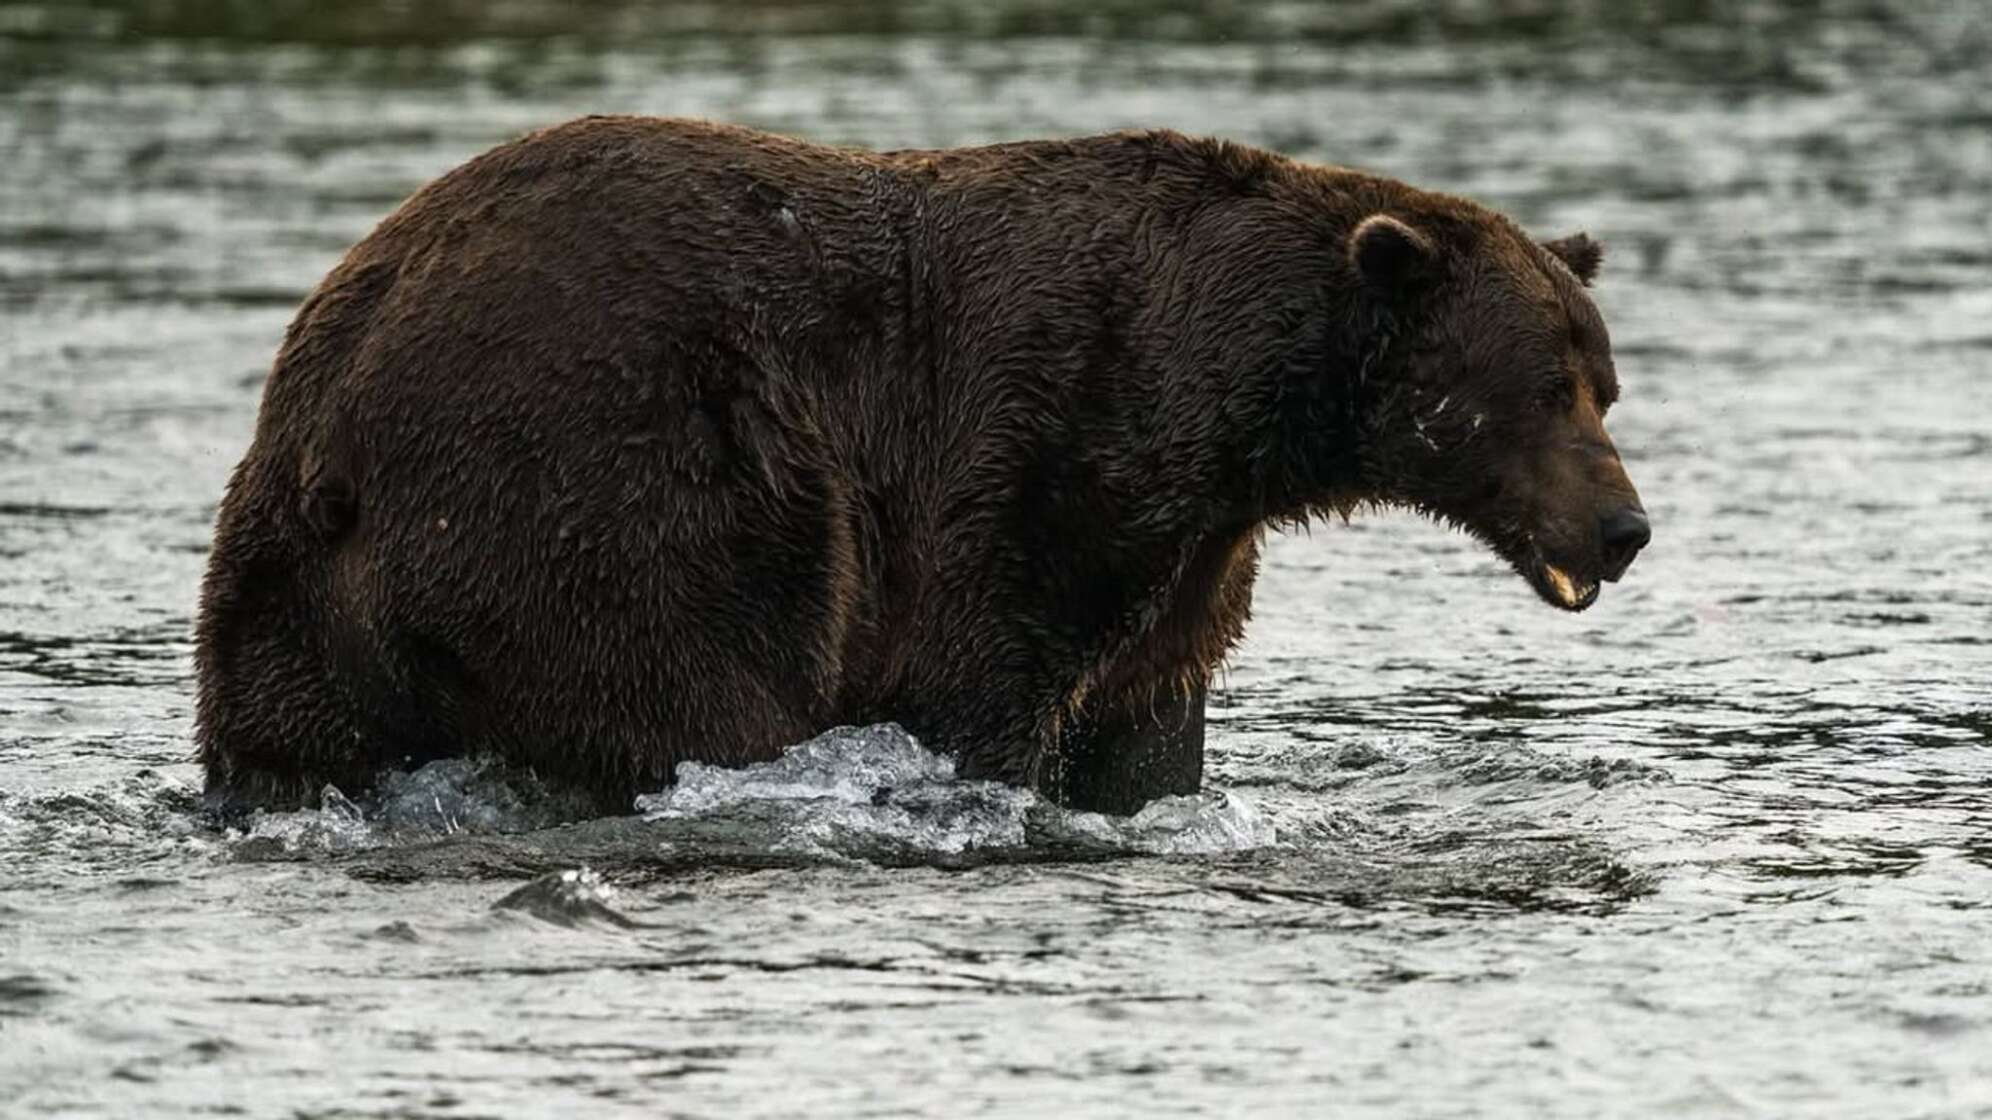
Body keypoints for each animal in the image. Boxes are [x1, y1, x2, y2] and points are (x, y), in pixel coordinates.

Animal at [194, 116, 1649, 817]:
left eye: (1606, 380)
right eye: (1545, 386)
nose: (1625, 527)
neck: (1230, 407)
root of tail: (331, 425)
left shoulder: (1192, 546)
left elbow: (1151, 710)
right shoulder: (1047, 448)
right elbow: (985, 677)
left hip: (286, 591)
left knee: (283, 735)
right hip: (606, 489)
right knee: (695, 687)